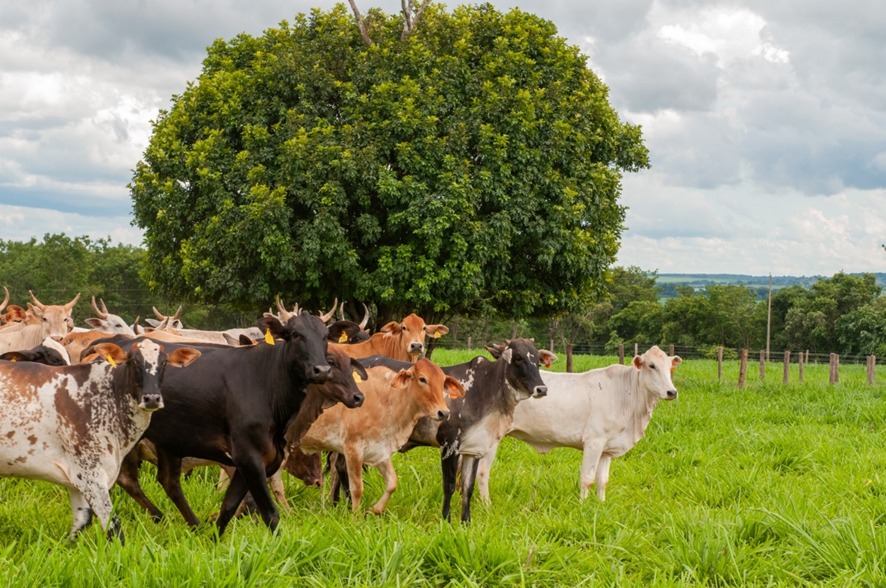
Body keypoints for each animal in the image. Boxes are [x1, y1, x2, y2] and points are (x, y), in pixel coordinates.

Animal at [0, 340, 200, 544]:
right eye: (134, 361)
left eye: (164, 363)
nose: (152, 398)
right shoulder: (91, 476)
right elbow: (114, 527)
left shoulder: (78, 482)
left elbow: (81, 523)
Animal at [302, 358, 464, 516]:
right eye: (422, 379)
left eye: (443, 382)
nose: (444, 413)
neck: (387, 400)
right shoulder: (352, 448)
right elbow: (357, 488)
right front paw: (355, 517)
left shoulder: (380, 449)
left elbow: (392, 483)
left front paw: (375, 509)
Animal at [354, 340, 556, 524]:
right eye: (519, 358)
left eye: (537, 361)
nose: (541, 389)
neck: (485, 389)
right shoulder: (449, 445)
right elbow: (449, 485)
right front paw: (446, 520)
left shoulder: (473, 449)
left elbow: (467, 487)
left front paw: (466, 522)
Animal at [478, 346, 680, 504]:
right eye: (652, 366)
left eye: (670, 368)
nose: (672, 392)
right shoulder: (593, 442)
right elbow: (587, 478)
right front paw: (583, 506)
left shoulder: (606, 448)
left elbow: (602, 480)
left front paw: (601, 504)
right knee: (482, 472)